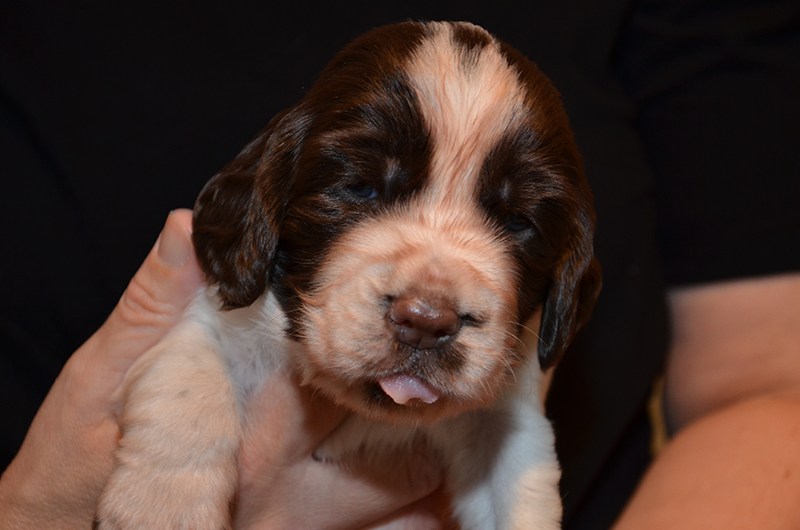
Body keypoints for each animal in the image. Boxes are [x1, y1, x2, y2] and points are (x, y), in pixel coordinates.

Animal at [95, 20, 600, 528]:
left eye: (518, 222)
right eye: (360, 187)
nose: (426, 321)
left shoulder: (505, 415)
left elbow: (522, 493)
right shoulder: (210, 318)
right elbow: (189, 389)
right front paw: (162, 508)